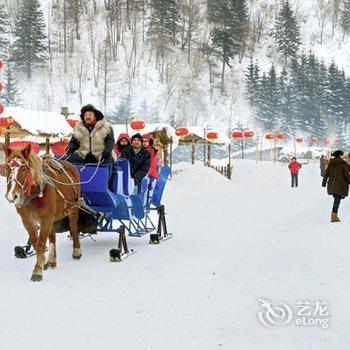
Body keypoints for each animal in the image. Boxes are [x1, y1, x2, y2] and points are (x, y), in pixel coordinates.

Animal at [2, 143, 82, 282]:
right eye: (7, 167)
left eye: (24, 168)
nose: (12, 196)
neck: (34, 194)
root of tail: (69, 164)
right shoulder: (27, 221)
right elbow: (35, 242)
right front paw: (43, 261)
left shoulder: (46, 219)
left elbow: (40, 244)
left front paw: (37, 271)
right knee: (52, 235)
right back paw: (52, 260)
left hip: (73, 208)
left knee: (73, 227)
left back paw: (76, 250)